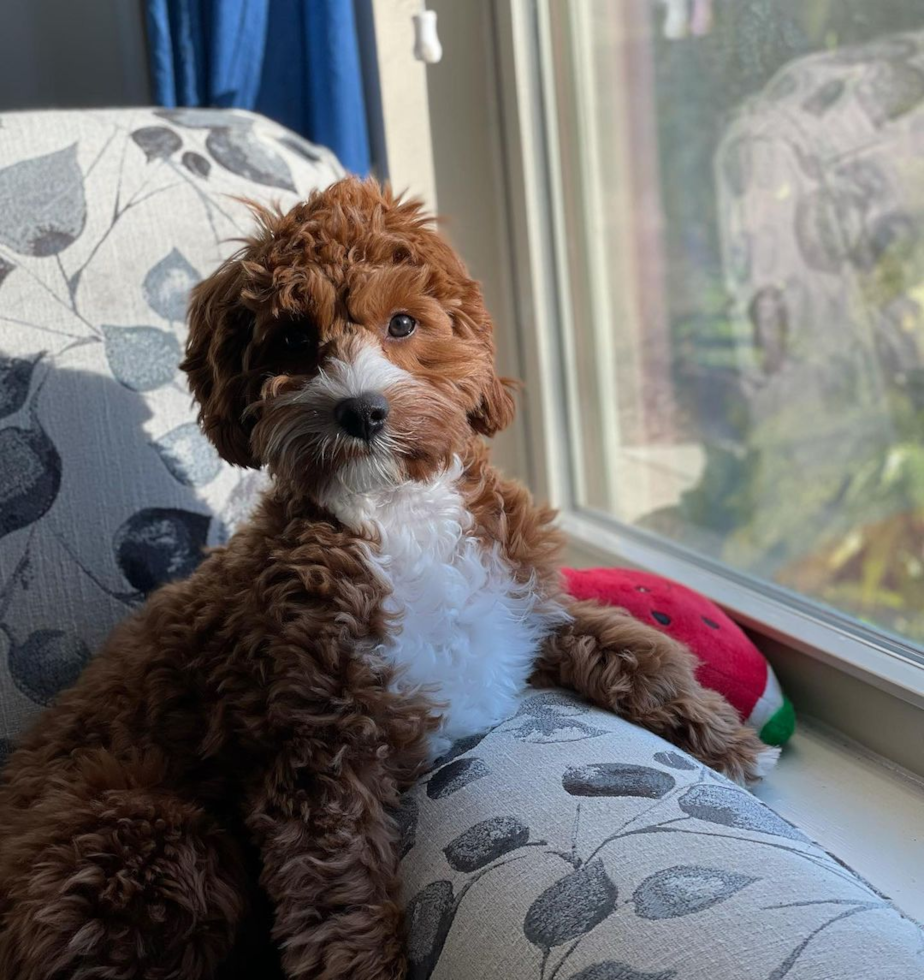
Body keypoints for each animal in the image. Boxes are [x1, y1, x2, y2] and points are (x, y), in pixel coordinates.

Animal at [0, 178, 768, 980]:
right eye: (292, 340)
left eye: (402, 322)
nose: (361, 411)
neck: (399, 512)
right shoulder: (316, 758)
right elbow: (341, 897)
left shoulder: (525, 607)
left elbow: (629, 646)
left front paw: (717, 735)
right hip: (149, 846)